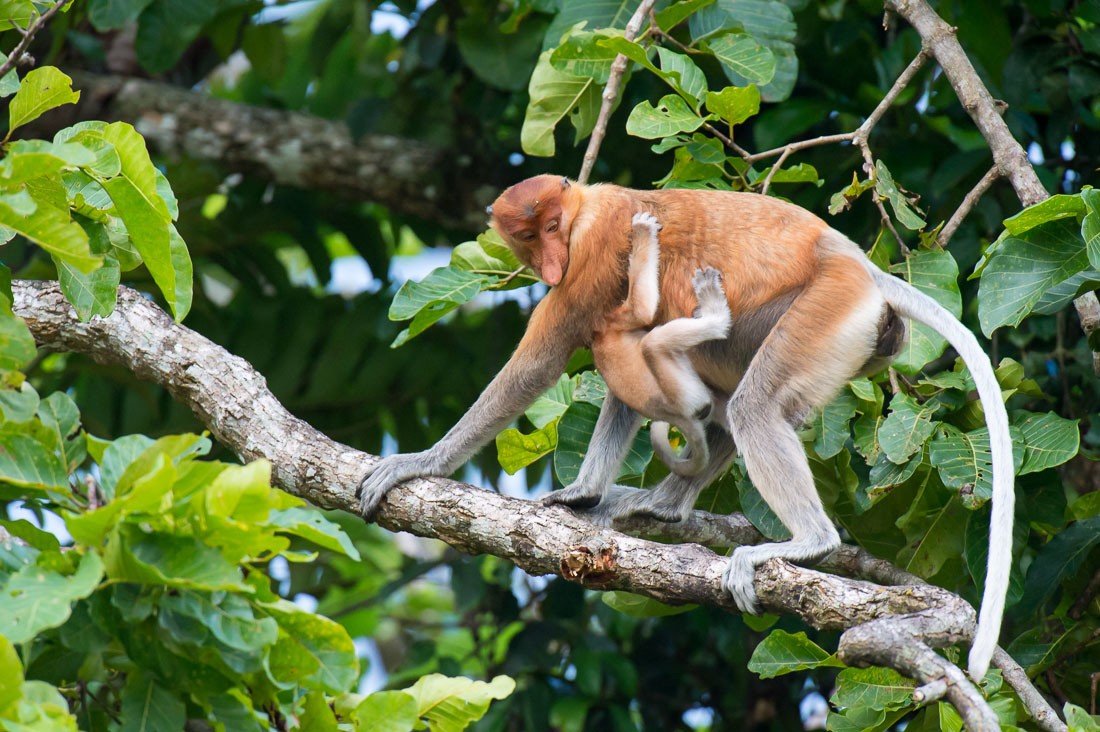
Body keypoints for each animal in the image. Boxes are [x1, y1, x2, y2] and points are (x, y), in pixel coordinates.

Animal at [594, 211, 730, 473]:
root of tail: (676, 417)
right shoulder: (612, 320)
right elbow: (642, 310)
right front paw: (643, 231)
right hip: (686, 394)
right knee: (653, 344)